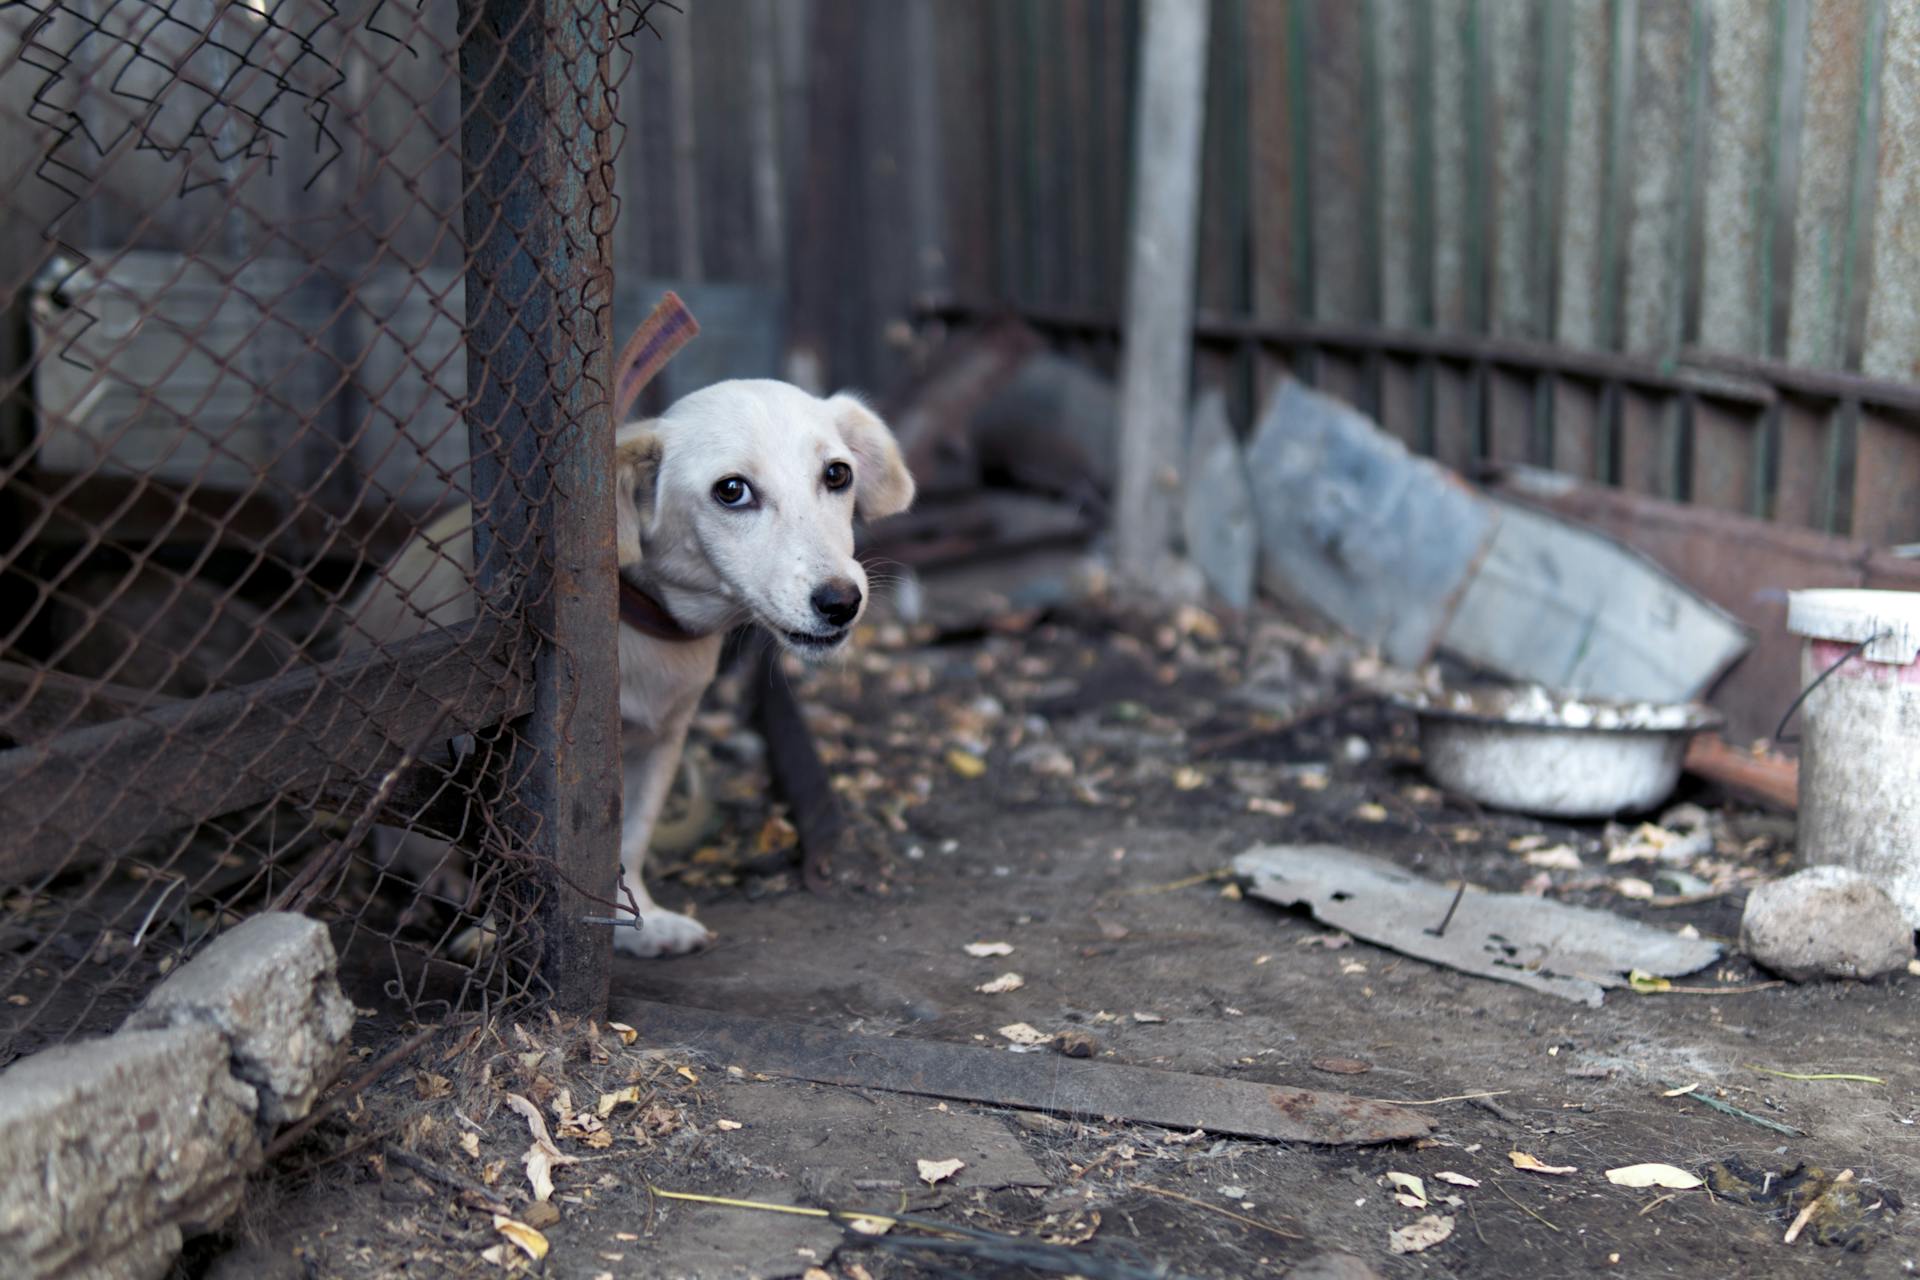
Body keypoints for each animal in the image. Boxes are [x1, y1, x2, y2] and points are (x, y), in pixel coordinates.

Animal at [349, 383, 917, 959]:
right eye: (732, 491)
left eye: (837, 475)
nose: (842, 602)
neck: (641, 631)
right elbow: (503, 849)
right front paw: (498, 936)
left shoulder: (659, 744)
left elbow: (631, 838)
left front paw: (637, 924)